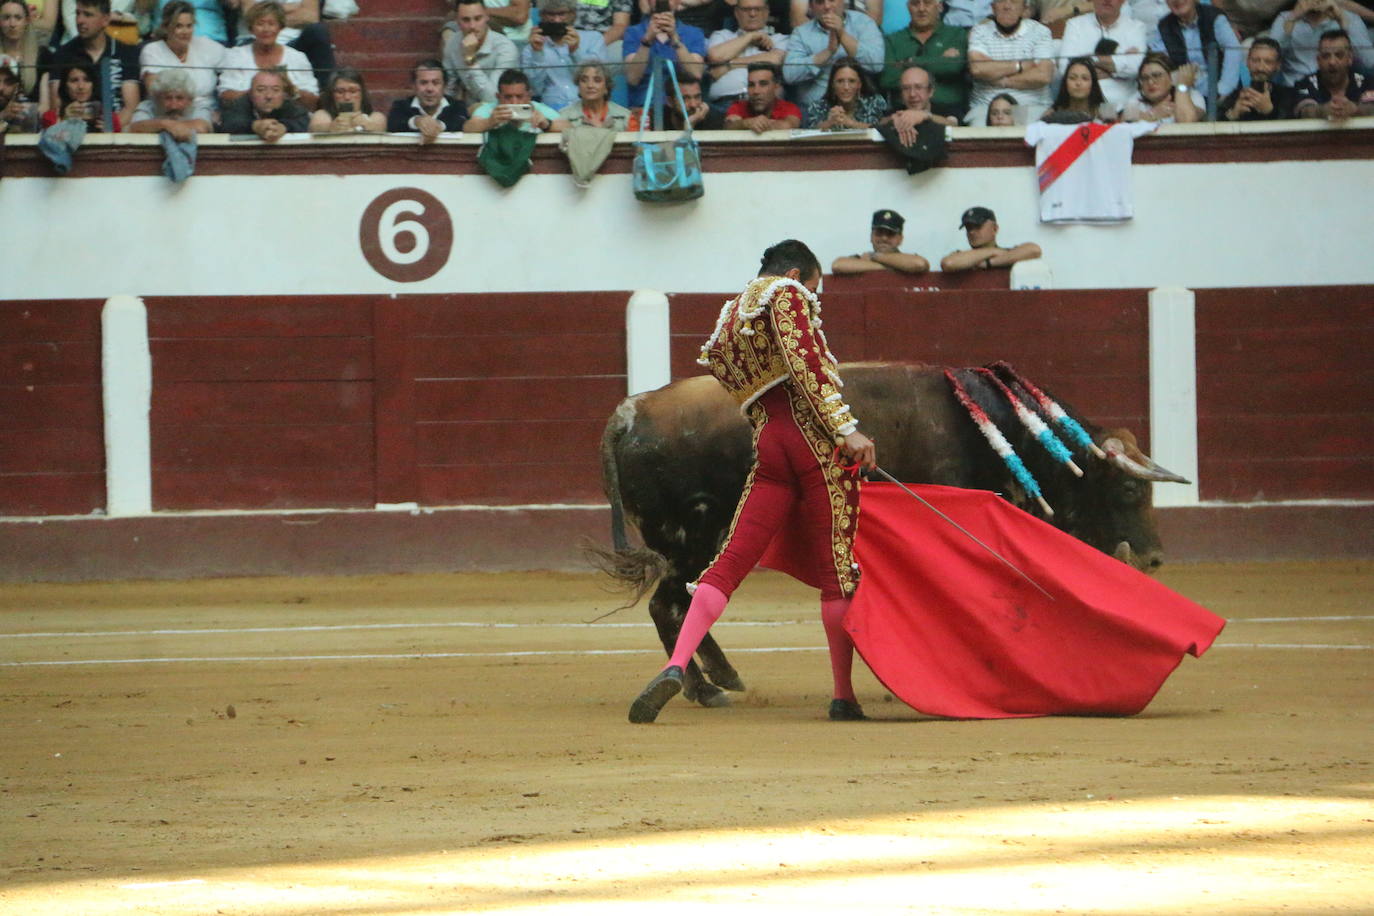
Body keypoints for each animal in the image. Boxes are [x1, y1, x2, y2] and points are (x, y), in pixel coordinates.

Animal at [596, 362, 1187, 708]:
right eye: (1129, 491)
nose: (1155, 559)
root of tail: (629, 412)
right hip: (689, 537)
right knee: (670, 605)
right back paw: (700, 689)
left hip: (706, 539)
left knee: (691, 598)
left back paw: (721, 678)